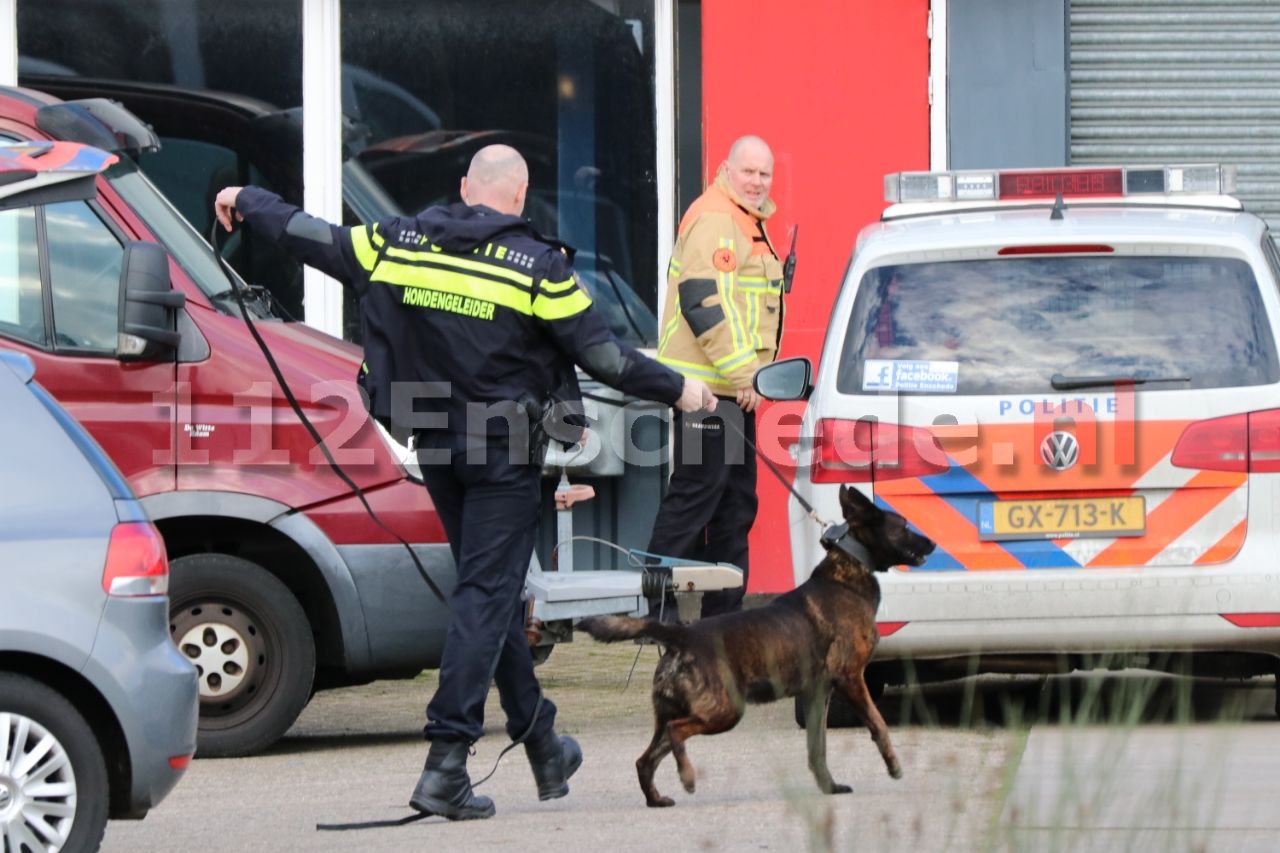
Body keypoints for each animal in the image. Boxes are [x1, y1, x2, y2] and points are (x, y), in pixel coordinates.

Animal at [578, 484, 931, 804]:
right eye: (904, 526)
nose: (931, 541)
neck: (846, 575)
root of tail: (682, 635)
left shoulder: (817, 695)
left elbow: (817, 749)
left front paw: (828, 786)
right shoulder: (850, 678)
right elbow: (879, 724)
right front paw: (893, 765)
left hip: (676, 715)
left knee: (645, 759)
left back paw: (656, 798)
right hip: (725, 710)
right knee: (677, 732)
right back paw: (687, 777)